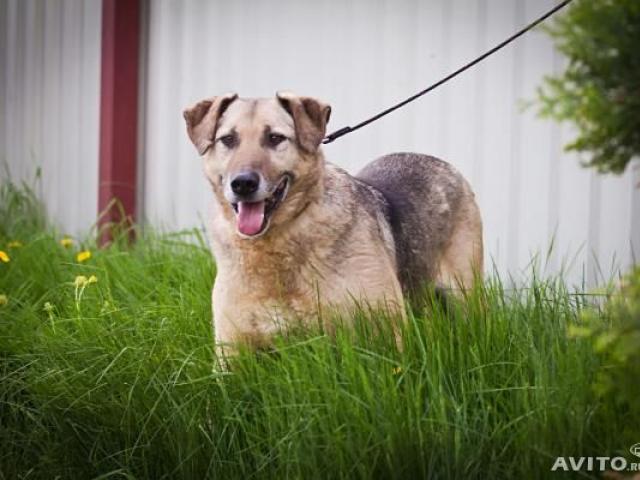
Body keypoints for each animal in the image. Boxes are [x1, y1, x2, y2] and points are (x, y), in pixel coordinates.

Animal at [182, 91, 482, 352]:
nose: (243, 184)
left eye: (275, 138)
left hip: (464, 294)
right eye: (228, 139)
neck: (279, 239)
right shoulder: (230, 354)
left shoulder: (388, 334)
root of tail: (439, 161)